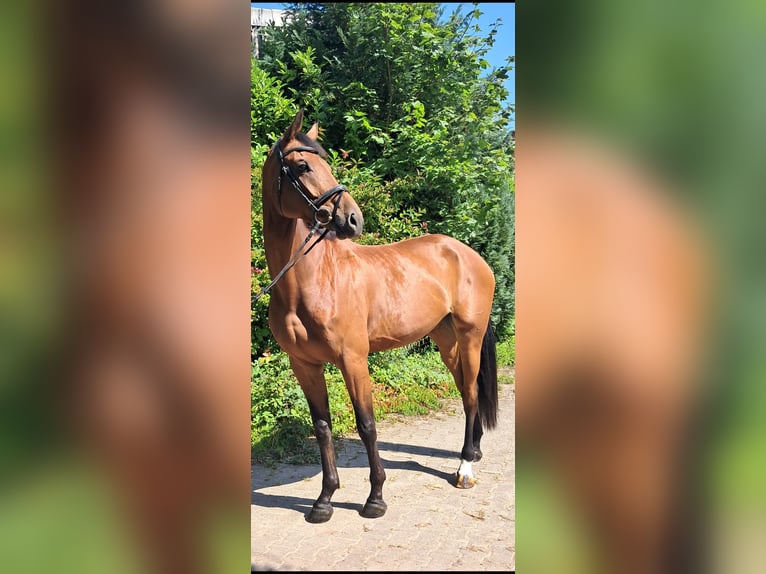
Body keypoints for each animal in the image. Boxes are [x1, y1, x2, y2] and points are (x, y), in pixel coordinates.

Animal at [259, 109, 499, 523]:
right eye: (303, 165)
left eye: (327, 161)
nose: (353, 219)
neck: (310, 280)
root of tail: (467, 254)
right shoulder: (303, 364)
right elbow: (322, 427)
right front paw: (324, 500)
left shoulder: (353, 359)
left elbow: (367, 425)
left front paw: (375, 498)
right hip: (446, 340)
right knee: (465, 390)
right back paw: (474, 451)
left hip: (470, 335)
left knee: (470, 395)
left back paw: (466, 467)